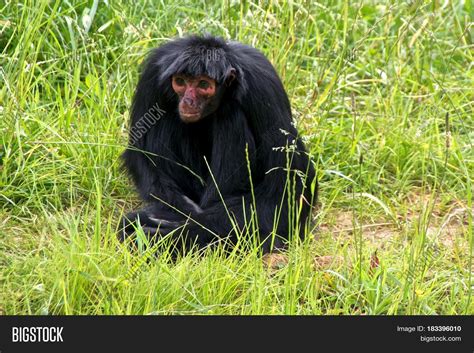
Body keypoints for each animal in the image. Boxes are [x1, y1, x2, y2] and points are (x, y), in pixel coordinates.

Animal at [120, 34, 316, 252]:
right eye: (180, 82)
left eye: (203, 85)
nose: (187, 101)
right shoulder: (153, 75)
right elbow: (141, 155)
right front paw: (176, 214)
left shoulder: (263, 86)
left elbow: (286, 193)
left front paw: (182, 231)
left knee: (229, 110)